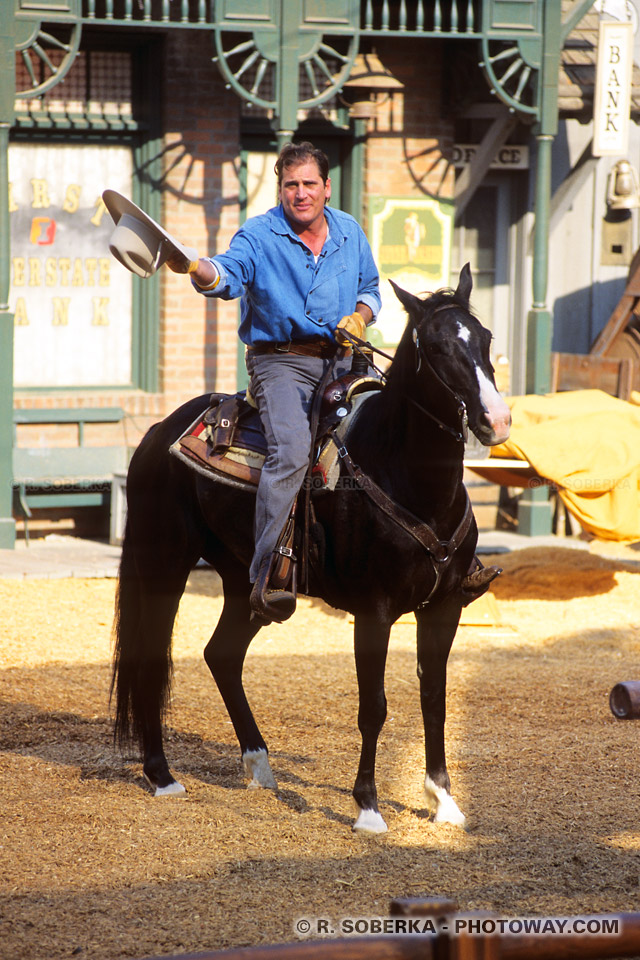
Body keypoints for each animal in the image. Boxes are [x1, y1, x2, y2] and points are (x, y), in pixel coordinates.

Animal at [110, 262, 510, 832]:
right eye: (435, 347)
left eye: (485, 338)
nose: (496, 420)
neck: (408, 476)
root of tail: (158, 433)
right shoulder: (374, 611)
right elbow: (374, 706)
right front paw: (367, 806)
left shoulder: (445, 606)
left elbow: (434, 697)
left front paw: (444, 800)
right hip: (165, 566)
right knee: (150, 657)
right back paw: (162, 775)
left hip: (247, 583)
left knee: (222, 654)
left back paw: (259, 765)